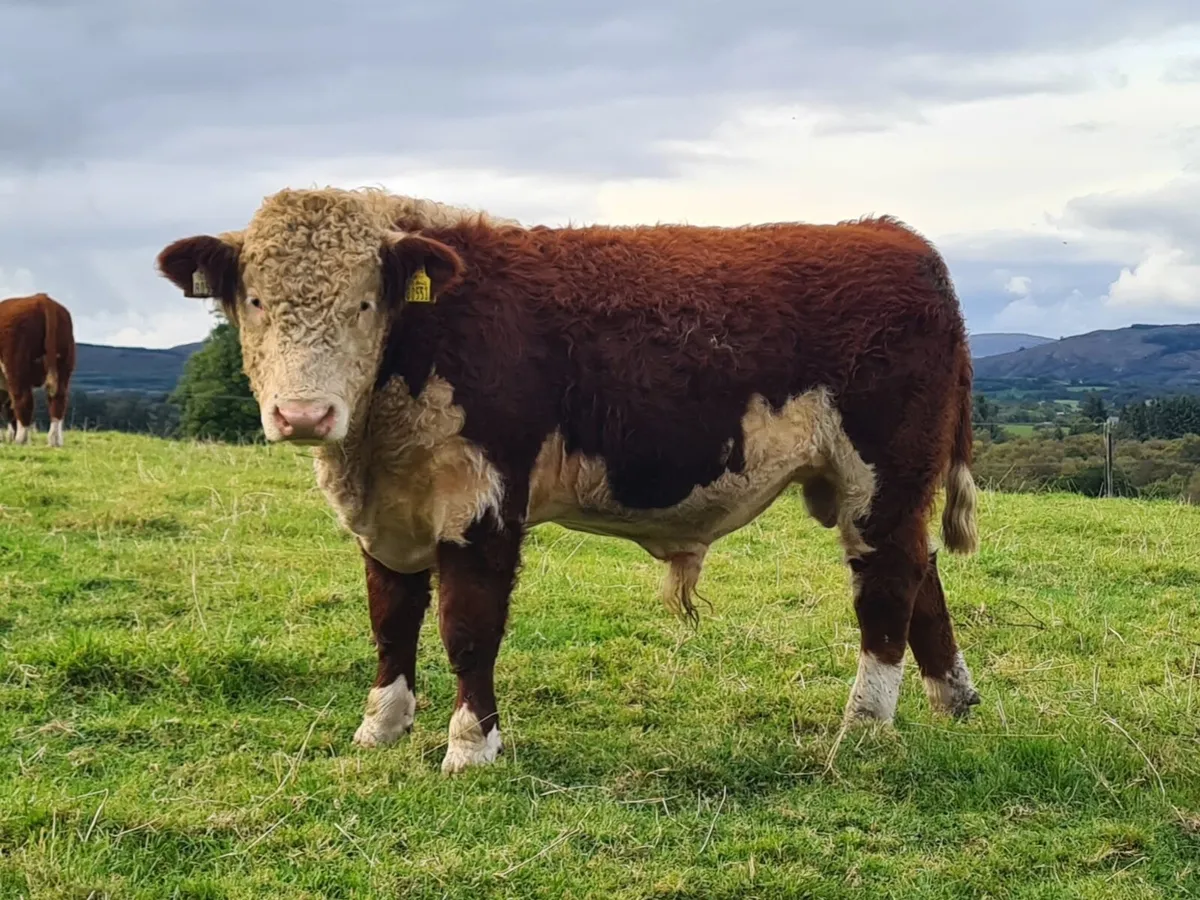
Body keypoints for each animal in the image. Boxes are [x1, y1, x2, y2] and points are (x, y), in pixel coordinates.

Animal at [0, 292, 75, 447]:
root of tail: (42, 299)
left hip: (16, 365)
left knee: (23, 400)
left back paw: (21, 439)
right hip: (64, 366)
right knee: (58, 400)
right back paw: (54, 440)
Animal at [156, 187, 981, 775]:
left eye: (365, 302)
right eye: (254, 300)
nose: (304, 413)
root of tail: (891, 234)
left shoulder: (482, 502)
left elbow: (467, 628)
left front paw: (471, 747)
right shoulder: (389, 515)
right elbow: (390, 619)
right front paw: (379, 728)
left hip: (882, 475)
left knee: (887, 584)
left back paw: (863, 727)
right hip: (880, 487)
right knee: (922, 574)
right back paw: (954, 697)